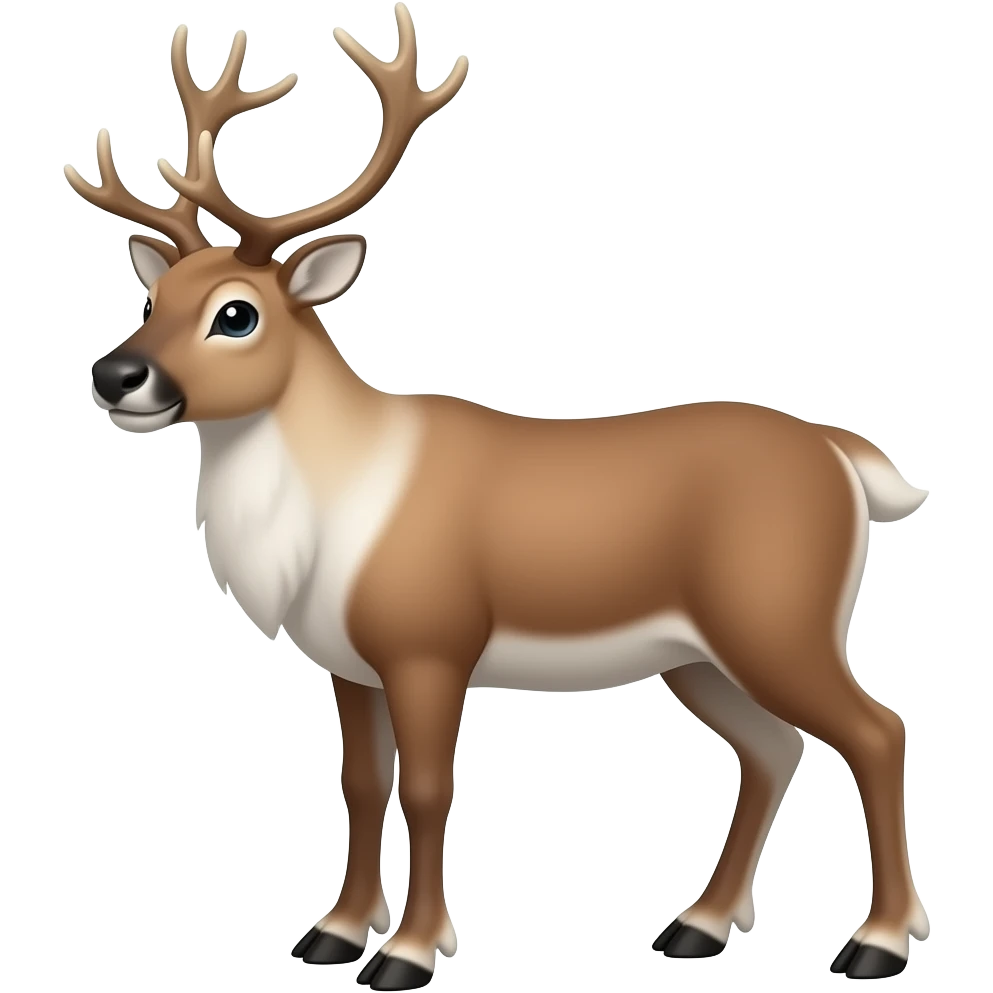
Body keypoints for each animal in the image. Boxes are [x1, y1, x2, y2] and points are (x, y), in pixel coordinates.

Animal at [63, 4, 932, 988]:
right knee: (774, 748)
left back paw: (875, 943)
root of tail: (840, 454)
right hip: (696, 653)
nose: (116, 374)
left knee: (877, 730)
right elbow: (361, 784)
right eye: (156, 295)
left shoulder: (431, 644)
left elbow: (428, 787)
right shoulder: (347, 662)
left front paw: (408, 951)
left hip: (778, 617)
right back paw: (696, 925)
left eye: (236, 312)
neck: (336, 506)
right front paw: (334, 931)